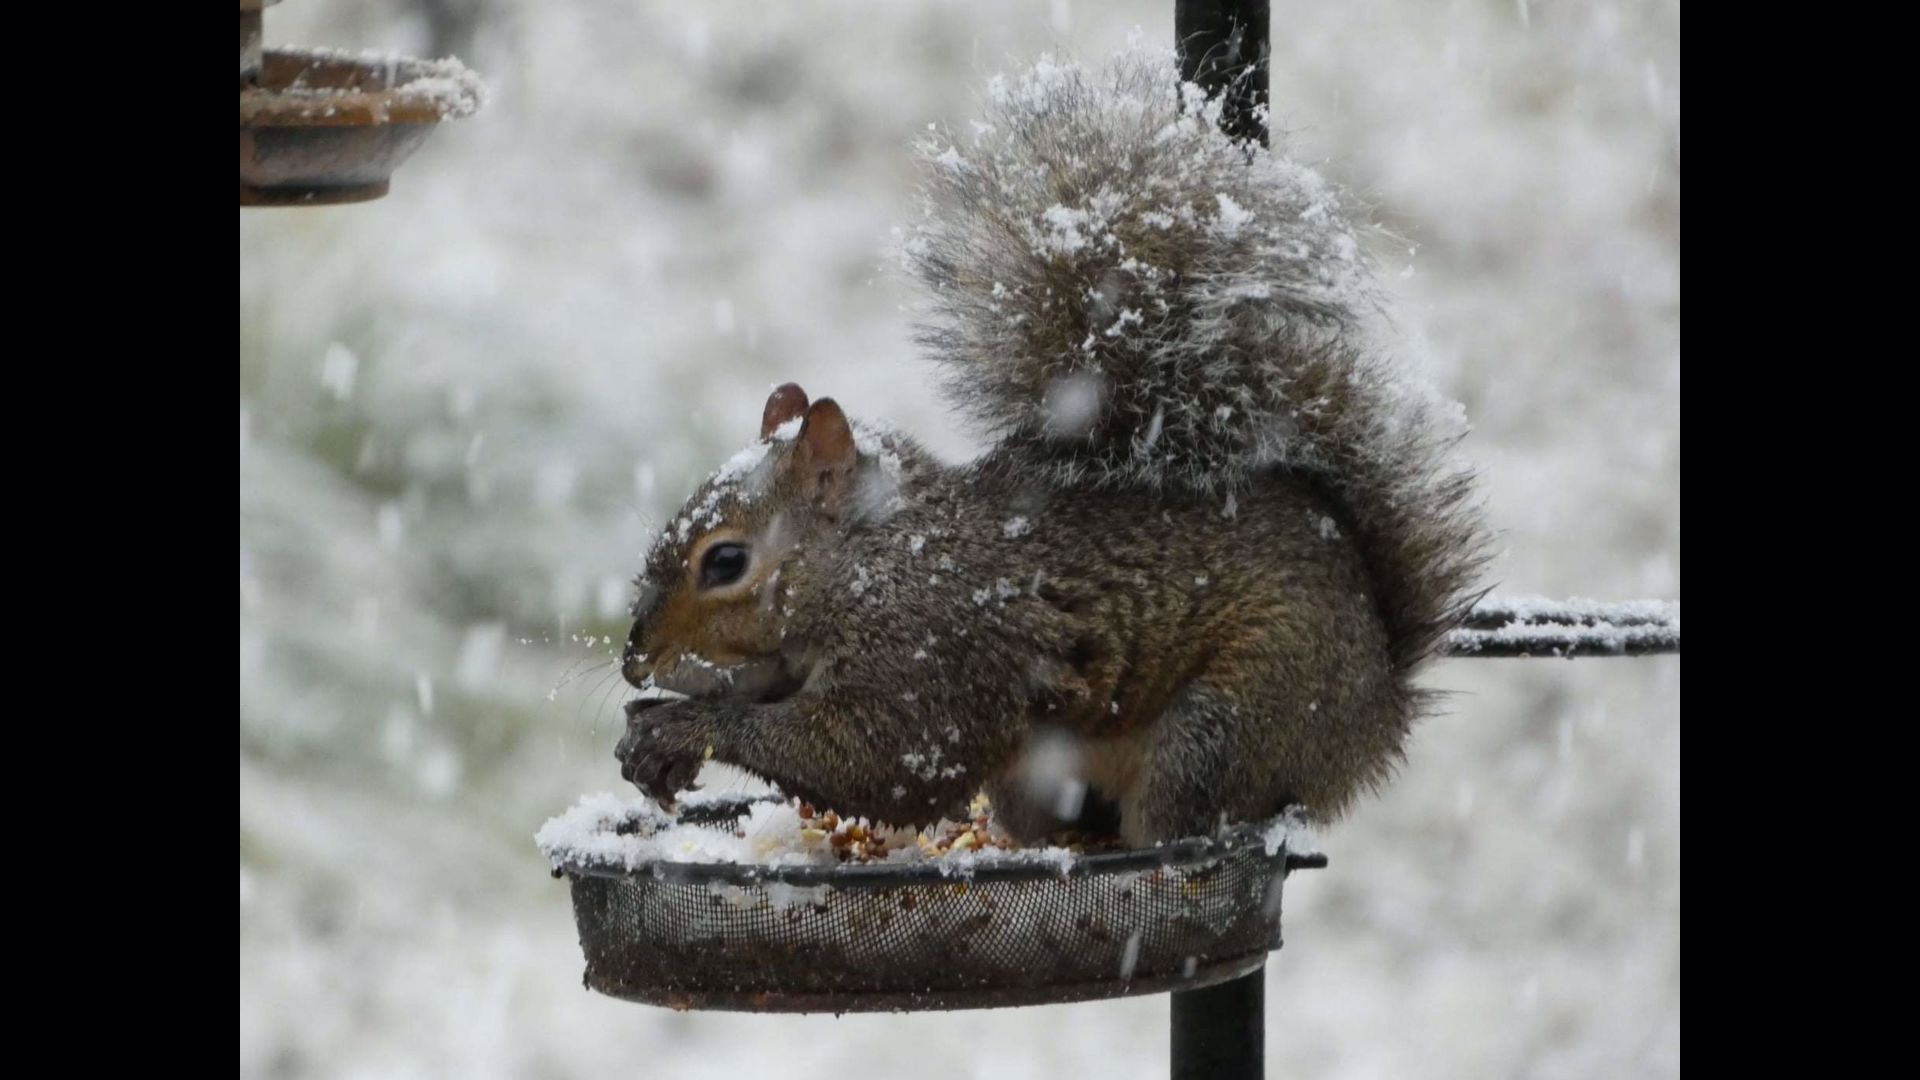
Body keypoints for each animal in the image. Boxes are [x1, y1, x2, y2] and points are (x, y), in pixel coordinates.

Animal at [622, 48, 1489, 841]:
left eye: (724, 562)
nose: (634, 659)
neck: (879, 557)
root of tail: (1377, 711)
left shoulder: (933, 653)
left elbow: (880, 761)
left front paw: (684, 727)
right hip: (1046, 778)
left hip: (1233, 720)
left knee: (1181, 818)